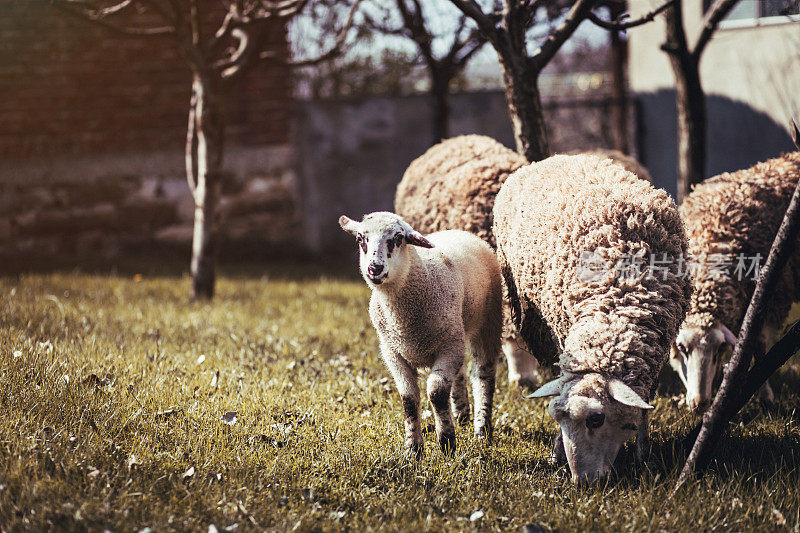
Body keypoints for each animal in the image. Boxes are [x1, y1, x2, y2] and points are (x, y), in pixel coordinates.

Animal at [340, 210, 504, 456]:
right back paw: (462, 415)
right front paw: (413, 449)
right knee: (460, 374)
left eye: (398, 238)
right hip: (458, 334)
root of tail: (459, 231)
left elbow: (436, 393)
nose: (375, 268)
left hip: (488, 322)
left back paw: (481, 430)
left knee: (484, 375)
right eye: (361, 239)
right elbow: (408, 399)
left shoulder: (448, 347)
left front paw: (446, 442)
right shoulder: (393, 353)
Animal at [494, 153, 688, 482]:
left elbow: (644, 404)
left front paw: (644, 456)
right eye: (559, 419)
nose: (581, 482)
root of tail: (549, 159)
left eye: (596, 419)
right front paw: (557, 453)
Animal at [668, 150, 800, 412]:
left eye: (720, 348)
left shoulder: (764, 299)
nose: (700, 404)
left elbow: (755, 347)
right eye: (682, 348)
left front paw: (765, 396)